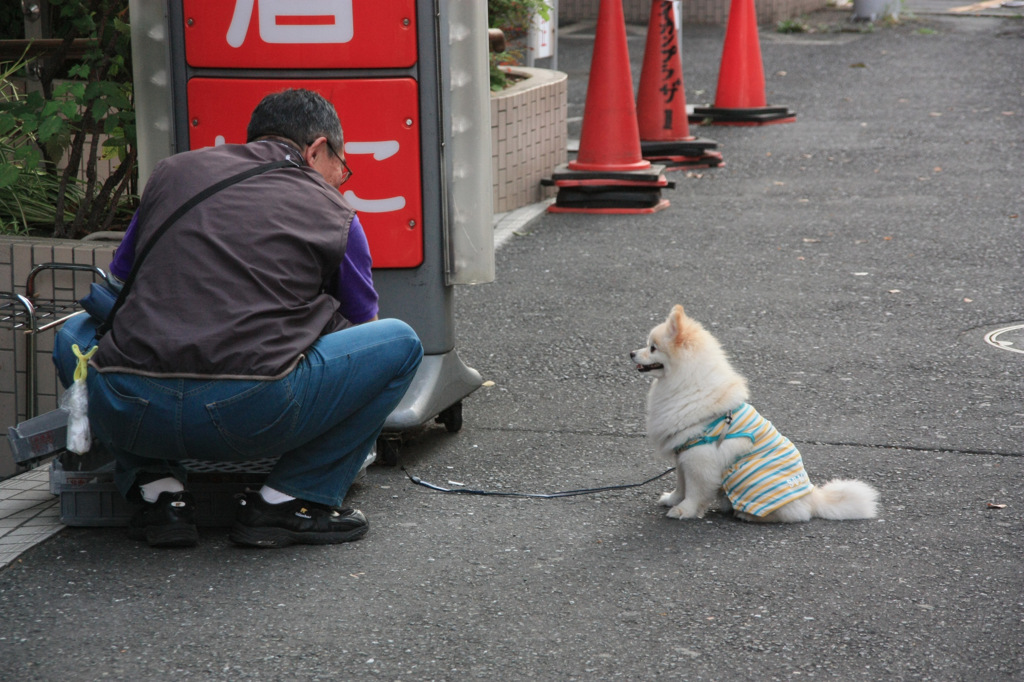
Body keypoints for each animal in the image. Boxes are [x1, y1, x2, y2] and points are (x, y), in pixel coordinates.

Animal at [630, 303, 880, 520]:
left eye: (652, 348)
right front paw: (672, 500)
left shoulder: (699, 459)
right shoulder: (683, 453)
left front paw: (684, 511)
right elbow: (681, 484)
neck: (685, 384)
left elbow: (695, 491)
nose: (631, 353)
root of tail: (812, 498)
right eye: (647, 344)